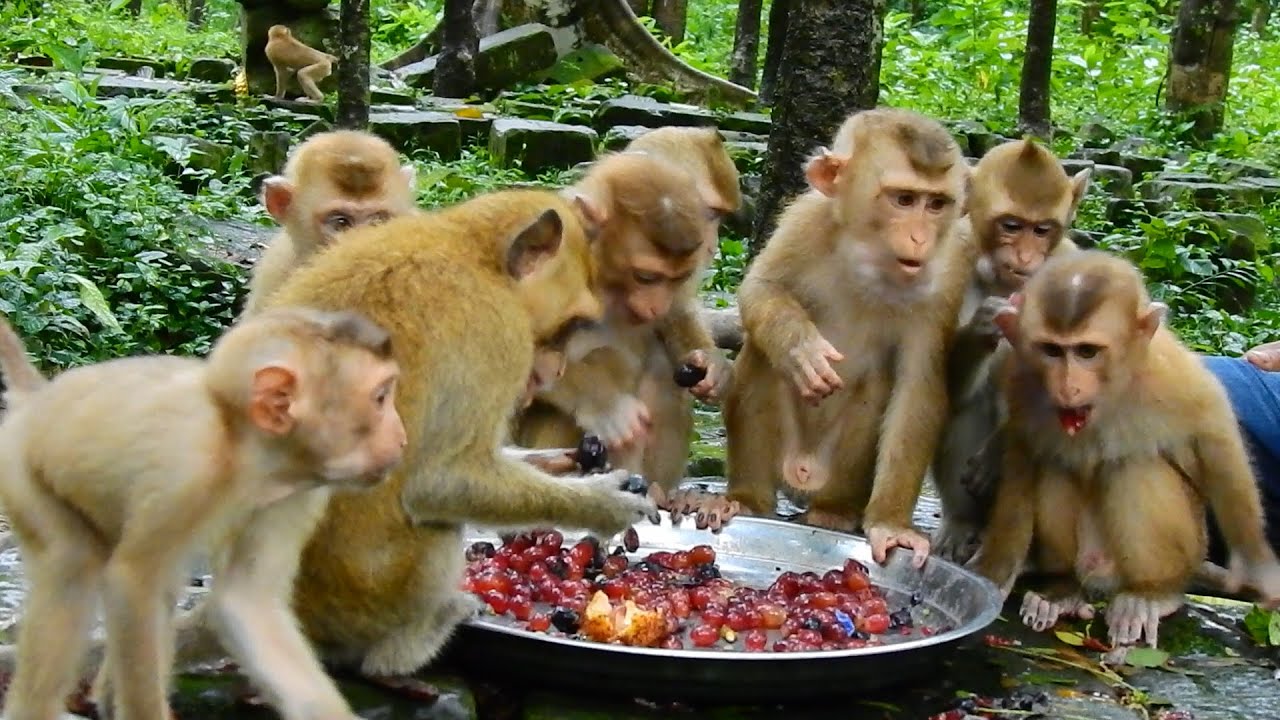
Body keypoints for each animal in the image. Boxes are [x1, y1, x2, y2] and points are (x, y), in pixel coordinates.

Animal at [0, 306, 406, 720]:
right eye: (380, 398)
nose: (402, 437)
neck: (245, 449)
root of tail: (37, 398)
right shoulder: (186, 467)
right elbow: (132, 583)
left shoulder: (295, 492)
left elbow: (246, 601)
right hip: (19, 470)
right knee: (74, 566)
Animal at [511, 151, 732, 521]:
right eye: (646, 277)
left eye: (677, 278)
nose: (656, 306)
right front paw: (606, 406)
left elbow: (678, 314)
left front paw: (713, 366)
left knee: (662, 369)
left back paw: (661, 493)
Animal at [709, 108, 978, 561]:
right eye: (903, 199)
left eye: (936, 204)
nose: (919, 238)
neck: (868, 256)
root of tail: (801, 473)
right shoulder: (805, 220)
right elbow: (760, 289)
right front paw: (802, 351)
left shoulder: (949, 271)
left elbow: (918, 386)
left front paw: (891, 525)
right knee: (761, 353)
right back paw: (745, 501)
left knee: (879, 387)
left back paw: (833, 512)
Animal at [929, 139, 1092, 563]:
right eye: (1012, 225)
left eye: (1042, 229)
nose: (1025, 259)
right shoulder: (950, 261)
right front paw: (983, 327)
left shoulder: (1069, 263)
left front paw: (998, 448)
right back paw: (963, 524)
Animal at [968, 249, 1280, 656]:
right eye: (1052, 351)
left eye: (1087, 352)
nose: (1067, 387)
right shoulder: (1023, 382)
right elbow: (1023, 456)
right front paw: (995, 568)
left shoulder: (1174, 373)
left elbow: (1215, 439)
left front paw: (1257, 565)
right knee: (1056, 467)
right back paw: (1063, 589)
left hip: (1182, 551)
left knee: (1133, 467)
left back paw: (1151, 595)